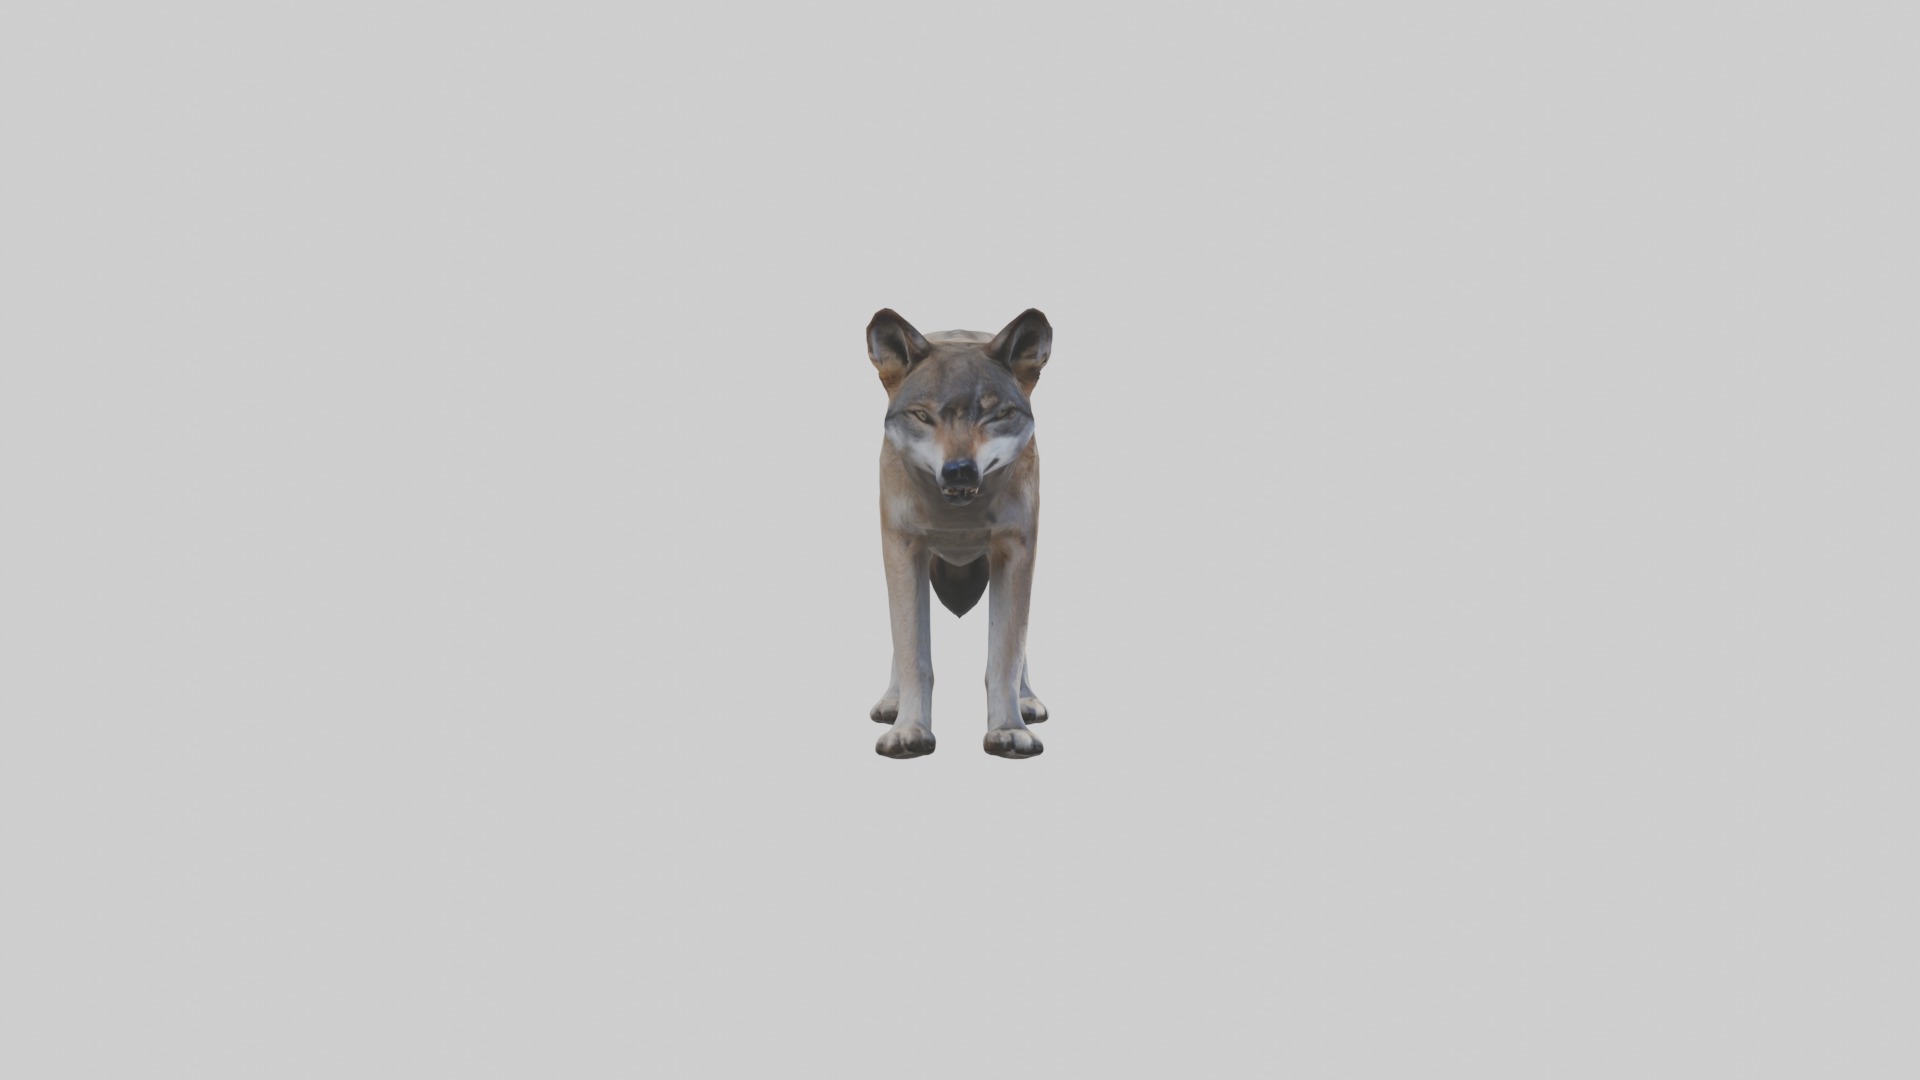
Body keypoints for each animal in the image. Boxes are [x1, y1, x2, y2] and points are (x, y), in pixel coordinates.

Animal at [865, 307, 1053, 759]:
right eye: (923, 416)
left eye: (996, 415)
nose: (960, 471)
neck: (958, 516)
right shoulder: (902, 548)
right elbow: (912, 652)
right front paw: (908, 731)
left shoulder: (1016, 550)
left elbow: (1006, 654)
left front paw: (1009, 730)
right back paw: (891, 703)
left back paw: (1027, 701)